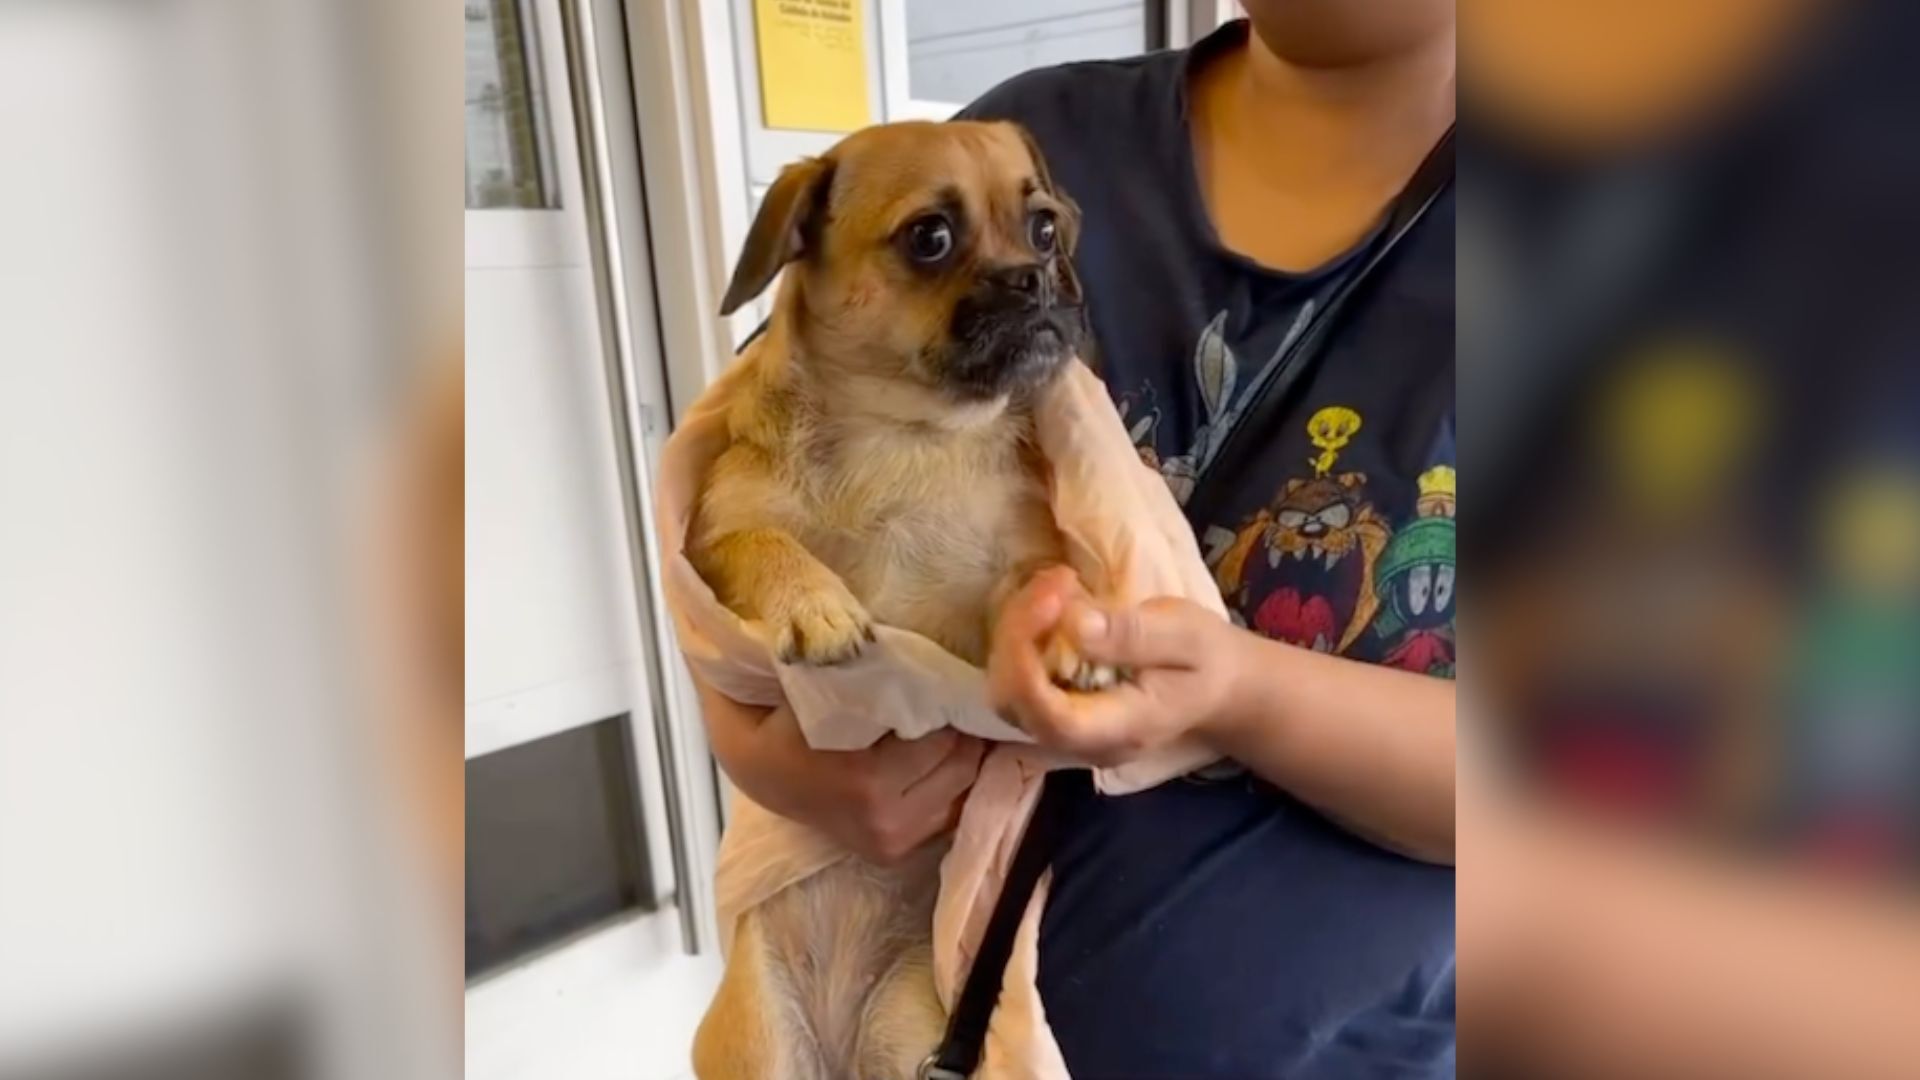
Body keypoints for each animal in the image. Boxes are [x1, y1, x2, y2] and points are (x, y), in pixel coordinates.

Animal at [656, 355, 1228, 1076]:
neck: (902, 440)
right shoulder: (713, 539)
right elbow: (763, 542)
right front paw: (815, 604)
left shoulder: (1010, 567)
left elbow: (1040, 585)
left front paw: (1073, 636)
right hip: (763, 1036)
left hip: (902, 1028)